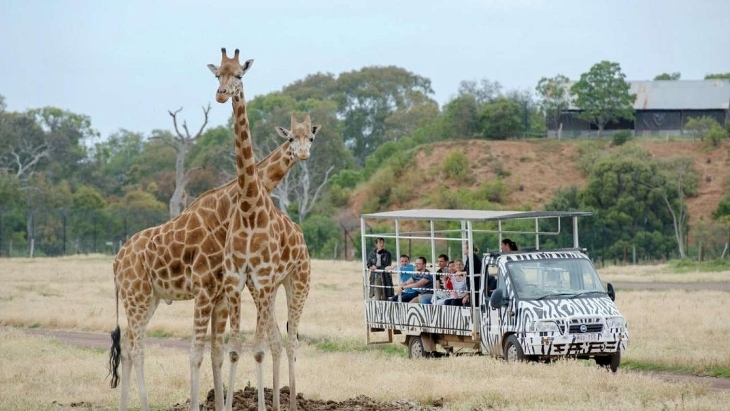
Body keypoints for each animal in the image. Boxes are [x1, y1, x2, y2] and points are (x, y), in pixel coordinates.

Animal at [108, 112, 318, 411]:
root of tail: (116, 261)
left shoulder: (220, 294)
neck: (225, 212)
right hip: (136, 295)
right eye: (290, 138)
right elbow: (199, 353)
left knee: (126, 345)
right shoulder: (206, 290)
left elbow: (216, 353)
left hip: (148, 298)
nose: (302, 153)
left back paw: (125, 405)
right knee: (137, 348)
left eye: (310, 137)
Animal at [208, 48, 312, 411]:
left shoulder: (263, 278)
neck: (250, 207)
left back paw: (291, 404)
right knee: (278, 340)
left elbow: (256, 350)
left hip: (296, 283)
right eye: (217, 74)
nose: (221, 94)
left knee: (291, 340)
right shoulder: (238, 280)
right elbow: (235, 349)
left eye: (240, 74)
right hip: (265, 289)